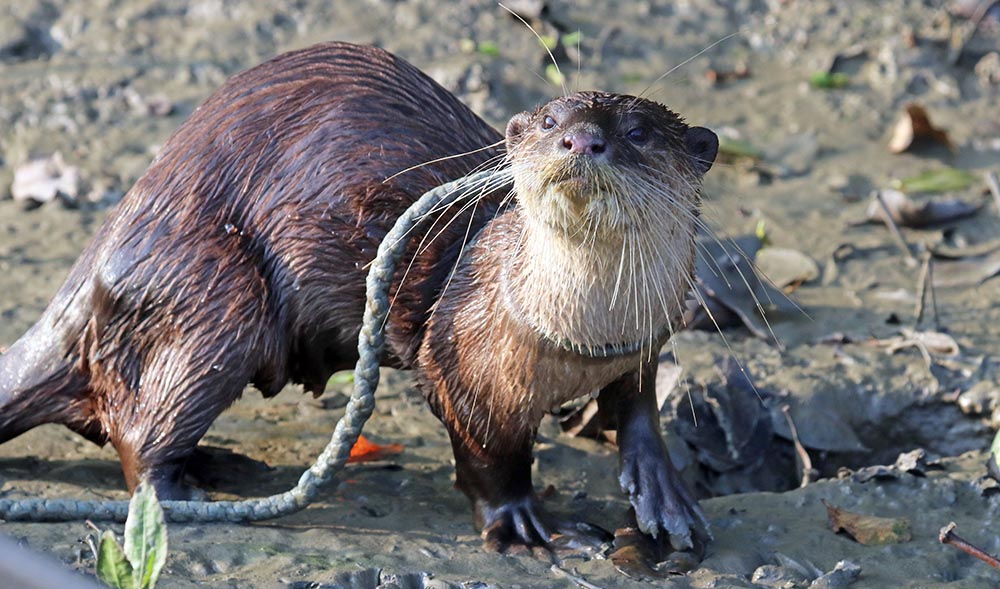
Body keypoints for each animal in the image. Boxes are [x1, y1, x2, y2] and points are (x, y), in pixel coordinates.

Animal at [0, 41, 720, 552]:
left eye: (638, 131)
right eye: (549, 120)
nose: (581, 139)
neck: (585, 335)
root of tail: (113, 237)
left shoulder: (646, 338)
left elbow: (639, 407)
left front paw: (665, 492)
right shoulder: (465, 364)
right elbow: (490, 457)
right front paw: (520, 521)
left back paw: (217, 462)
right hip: (214, 296)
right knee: (142, 434)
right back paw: (188, 488)